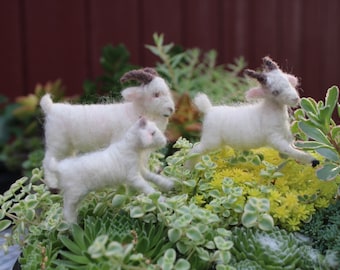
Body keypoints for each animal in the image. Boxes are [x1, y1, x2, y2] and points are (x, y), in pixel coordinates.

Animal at [40, 68, 174, 190]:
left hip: (68, 147)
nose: (171, 109)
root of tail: (51, 108)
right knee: (47, 160)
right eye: (156, 94)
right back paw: (52, 184)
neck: (134, 111)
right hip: (57, 143)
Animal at [189, 55, 318, 167]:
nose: (295, 99)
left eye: (288, 81)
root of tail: (208, 109)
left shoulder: (287, 135)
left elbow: (293, 147)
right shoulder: (275, 139)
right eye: (275, 92)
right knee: (194, 150)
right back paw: (188, 169)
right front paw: (312, 160)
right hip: (211, 140)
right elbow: (290, 150)